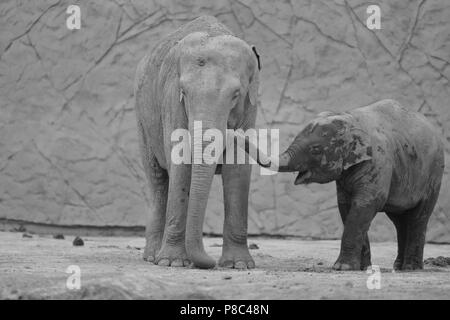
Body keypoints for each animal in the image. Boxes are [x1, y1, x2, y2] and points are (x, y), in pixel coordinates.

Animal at [134, 16, 260, 268]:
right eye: (184, 92)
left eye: (236, 94)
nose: (211, 262)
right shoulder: (172, 101)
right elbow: (180, 163)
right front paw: (172, 263)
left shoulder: (249, 108)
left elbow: (238, 169)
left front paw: (238, 265)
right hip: (143, 120)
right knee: (158, 180)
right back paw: (153, 257)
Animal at [248, 99, 444, 270]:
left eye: (315, 149)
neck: (349, 117)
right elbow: (346, 207)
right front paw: (362, 268)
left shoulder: (378, 162)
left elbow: (365, 204)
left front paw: (342, 268)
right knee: (400, 220)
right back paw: (398, 266)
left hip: (434, 173)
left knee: (418, 217)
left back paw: (411, 268)